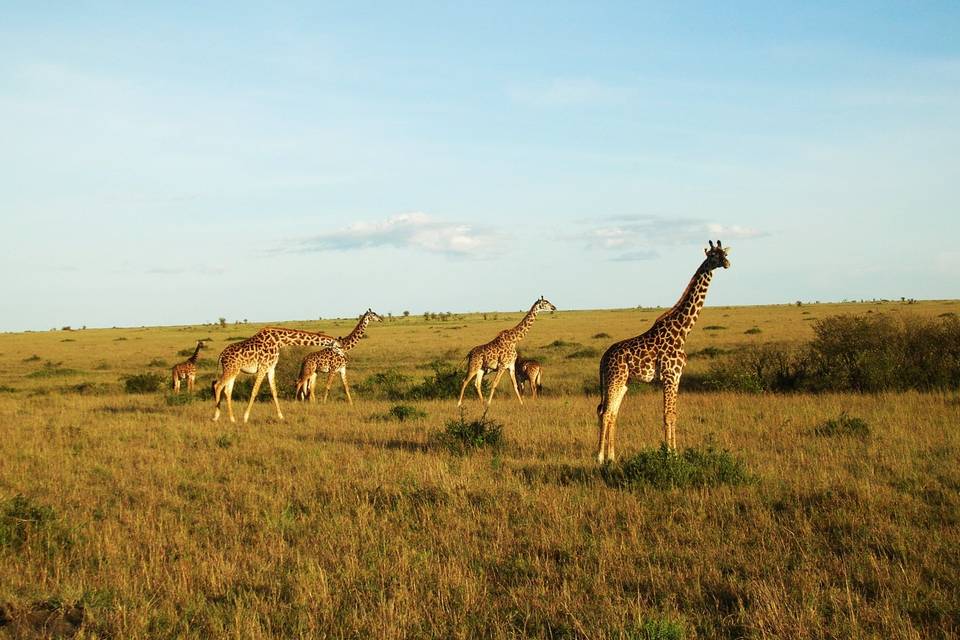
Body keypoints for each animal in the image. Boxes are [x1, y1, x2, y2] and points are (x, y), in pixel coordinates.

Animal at [212, 324, 340, 424]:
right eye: (338, 346)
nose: (342, 355)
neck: (280, 341)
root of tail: (221, 355)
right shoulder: (263, 367)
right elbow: (254, 391)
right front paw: (245, 417)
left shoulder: (271, 368)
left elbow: (274, 391)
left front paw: (281, 416)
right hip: (230, 369)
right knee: (218, 385)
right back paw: (215, 417)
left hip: (234, 371)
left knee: (227, 390)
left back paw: (232, 419)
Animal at [596, 240, 732, 460]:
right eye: (713, 255)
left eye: (724, 254)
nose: (727, 263)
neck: (683, 331)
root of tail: (603, 359)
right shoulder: (669, 375)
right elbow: (668, 415)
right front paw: (670, 455)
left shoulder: (677, 377)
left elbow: (674, 414)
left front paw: (674, 452)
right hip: (614, 378)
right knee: (606, 412)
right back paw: (600, 457)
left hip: (622, 383)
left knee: (612, 413)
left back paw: (612, 457)